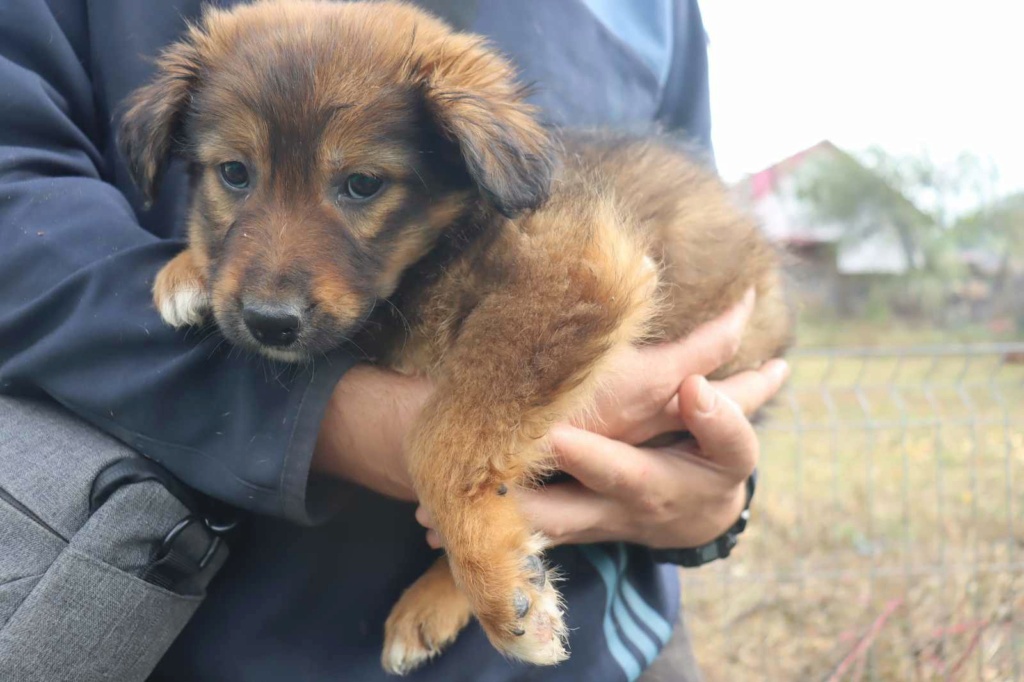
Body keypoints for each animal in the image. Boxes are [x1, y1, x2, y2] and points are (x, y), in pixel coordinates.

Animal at [117, 0, 790, 667]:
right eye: (234, 173)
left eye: (362, 184)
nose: (269, 322)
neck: (437, 249)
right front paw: (188, 270)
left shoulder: (577, 267)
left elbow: (443, 437)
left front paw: (492, 578)